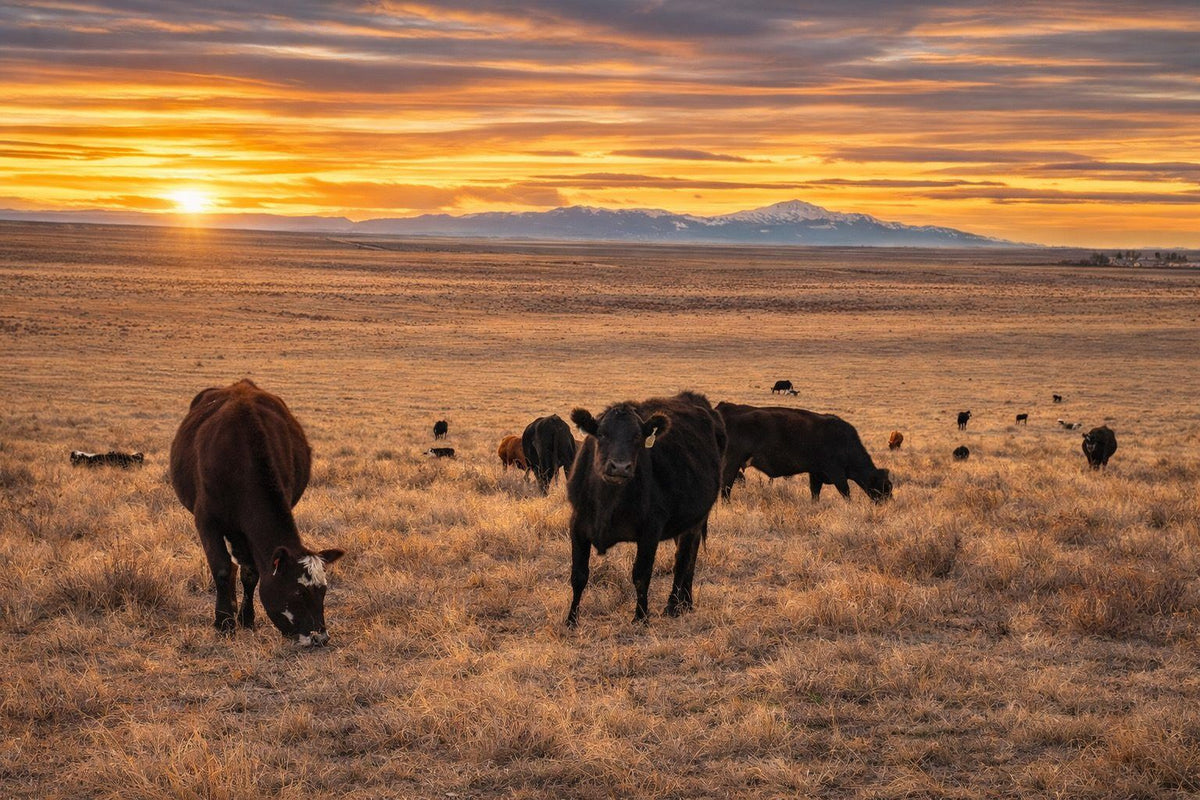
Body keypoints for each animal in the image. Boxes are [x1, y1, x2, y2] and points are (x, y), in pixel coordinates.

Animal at [169, 380, 344, 646]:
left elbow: (251, 573)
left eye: (323, 591)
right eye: (297, 592)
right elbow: (222, 569)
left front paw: (246, 619)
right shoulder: (207, 521)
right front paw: (224, 623)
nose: (320, 637)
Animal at [566, 391, 725, 626]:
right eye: (602, 434)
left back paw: (673, 606)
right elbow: (579, 575)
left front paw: (641, 616)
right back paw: (686, 603)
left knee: (683, 560)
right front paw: (571, 620)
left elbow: (641, 575)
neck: (607, 502)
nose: (620, 467)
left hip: (696, 519)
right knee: (689, 556)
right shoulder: (577, 526)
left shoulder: (651, 530)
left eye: (638, 437)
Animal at [716, 402, 891, 503]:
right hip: (731, 464)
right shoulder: (837, 473)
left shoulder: (816, 473)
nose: (887, 502)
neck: (845, 441)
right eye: (884, 487)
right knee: (726, 487)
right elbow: (846, 492)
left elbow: (815, 493)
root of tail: (726, 408)